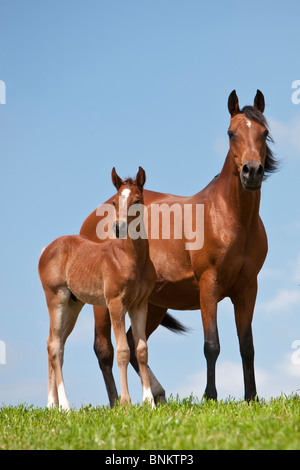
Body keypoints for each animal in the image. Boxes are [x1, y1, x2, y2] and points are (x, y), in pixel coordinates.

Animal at [38, 167, 156, 410]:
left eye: (137, 200)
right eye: (114, 202)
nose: (118, 228)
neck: (131, 258)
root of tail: (47, 249)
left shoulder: (140, 305)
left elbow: (141, 350)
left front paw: (150, 402)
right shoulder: (115, 303)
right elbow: (123, 351)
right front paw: (126, 403)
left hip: (73, 306)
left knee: (55, 344)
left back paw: (52, 404)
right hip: (56, 299)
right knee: (54, 345)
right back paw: (65, 406)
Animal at [80, 90, 278, 406]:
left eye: (264, 132)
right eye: (231, 133)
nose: (252, 172)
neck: (229, 217)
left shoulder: (248, 289)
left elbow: (247, 346)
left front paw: (251, 398)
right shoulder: (209, 285)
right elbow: (212, 344)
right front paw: (210, 397)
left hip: (152, 305)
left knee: (135, 345)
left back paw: (158, 396)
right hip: (104, 304)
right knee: (105, 350)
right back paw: (115, 402)